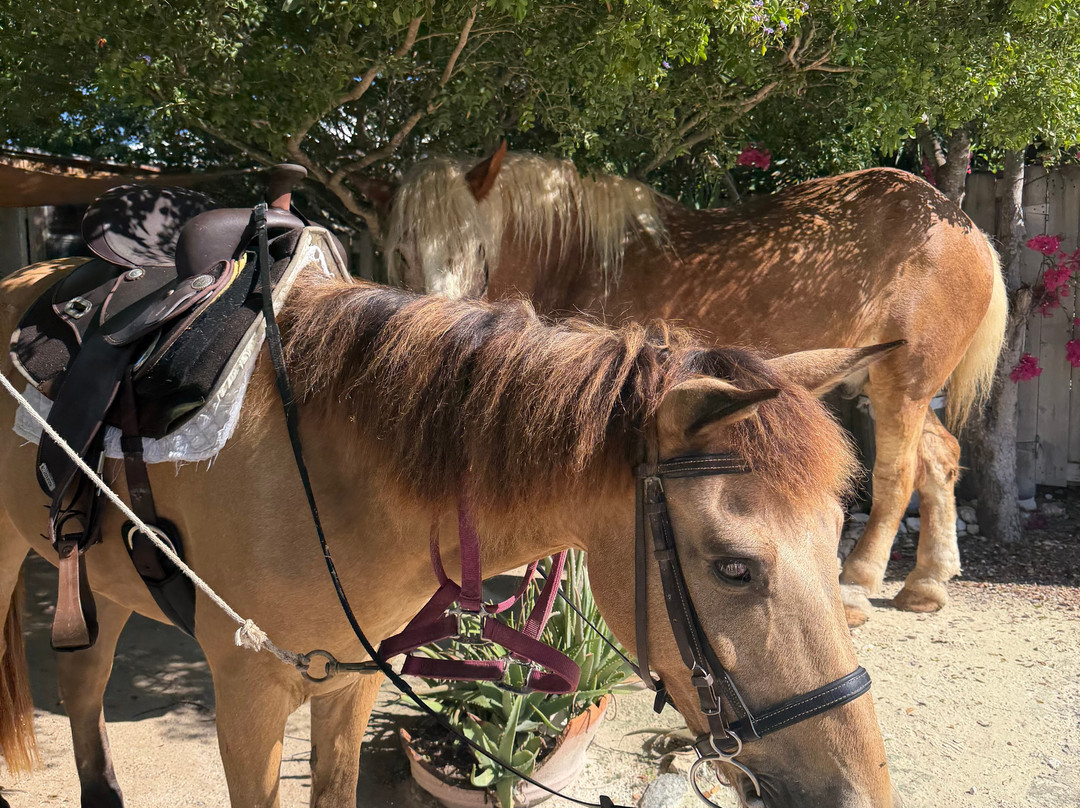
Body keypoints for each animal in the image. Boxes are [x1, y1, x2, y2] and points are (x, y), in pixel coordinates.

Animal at [0, 258, 901, 807]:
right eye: (733, 568)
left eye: (837, 533)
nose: (859, 795)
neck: (322, 476)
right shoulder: (247, 700)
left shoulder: (348, 683)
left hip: (100, 580)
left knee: (82, 681)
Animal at [369, 147, 1008, 626]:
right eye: (399, 250)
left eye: (476, 248)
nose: (443, 330)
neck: (580, 257)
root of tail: (966, 228)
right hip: (889, 383)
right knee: (939, 458)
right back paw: (927, 584)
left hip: (901, 385)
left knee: (895, 477)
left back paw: (855, 587)